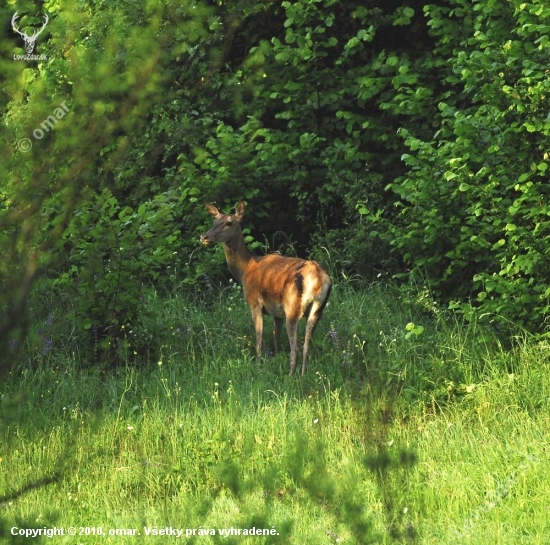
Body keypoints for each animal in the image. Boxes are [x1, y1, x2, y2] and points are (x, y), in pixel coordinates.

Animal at [202, 200, 332, 374]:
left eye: (229, 223)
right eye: (214, 221)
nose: (204, 237)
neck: (245, 269)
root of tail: (319, 279)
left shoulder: (255, 303)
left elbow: (259, 339)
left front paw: (258, 365)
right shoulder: (278, 312)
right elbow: (275, 338)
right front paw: (275, 358)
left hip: (292, 307)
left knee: (295, 347)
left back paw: (291, 375)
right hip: (318, 309)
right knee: (306, 345)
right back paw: (303, 374)